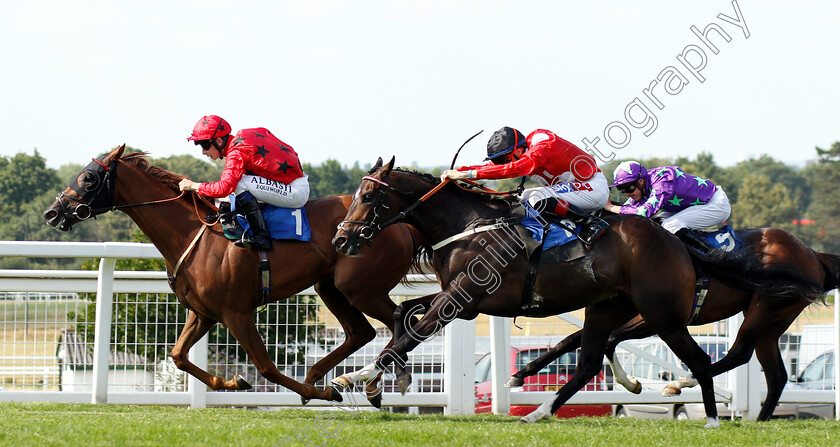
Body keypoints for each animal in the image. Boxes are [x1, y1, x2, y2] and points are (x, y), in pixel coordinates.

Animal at [41, 146, 424, 406]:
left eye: (88, 177)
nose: (53, 211)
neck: (195, 233)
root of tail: (401, 222)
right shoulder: (204, 313)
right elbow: (179, 356)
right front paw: (231, 383)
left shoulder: (236, 312)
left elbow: (266, 367)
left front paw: (321, 392)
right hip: (330, 286)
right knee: (363, 332)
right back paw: (340, 378)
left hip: (361, 288)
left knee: (402, 322)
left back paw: (366, 382)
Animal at [508, 229, 836, 422]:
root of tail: (813, 255)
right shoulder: (636, 315)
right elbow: (572, 340)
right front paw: (520, 374)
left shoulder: (651, 317)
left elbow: (607, 340)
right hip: (774, 323)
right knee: (777, 374)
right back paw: (759, 419)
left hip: (762, 311)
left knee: (740, 352)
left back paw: (680, 383)